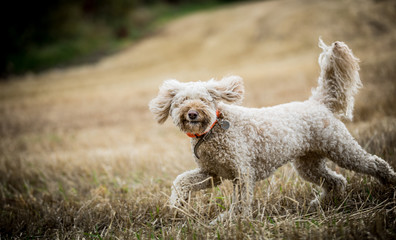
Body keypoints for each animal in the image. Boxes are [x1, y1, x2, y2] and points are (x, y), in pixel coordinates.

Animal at [148, 39, 396, 221]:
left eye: (203, 100)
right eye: (181, 101)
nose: (192, 113)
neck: (213, 131)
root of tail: (318, 103)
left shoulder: (242, 173)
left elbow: (241, 201)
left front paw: (234, 220)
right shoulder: (212, 174)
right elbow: (181, 181)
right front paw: (178, 203)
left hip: (342, 149)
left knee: (374, 163)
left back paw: (390, 181)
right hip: (308, 164)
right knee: (336, 181)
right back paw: (321, 203)